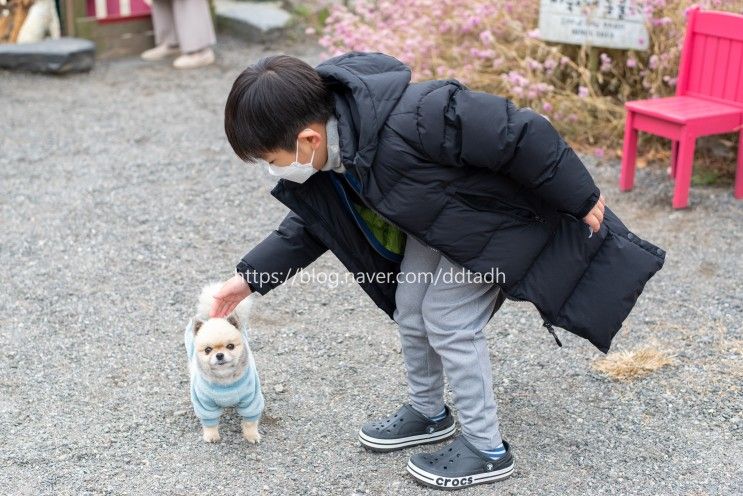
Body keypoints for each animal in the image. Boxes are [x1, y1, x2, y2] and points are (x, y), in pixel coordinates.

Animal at [185, 280, 264, 444]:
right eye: (208, 350)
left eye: (230, 346)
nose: (220, 355)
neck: (225, 380)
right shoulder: (205, 404)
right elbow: (209, 422)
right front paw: (211, 435)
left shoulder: (251, 400)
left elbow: (250, 421)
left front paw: (251, 435)